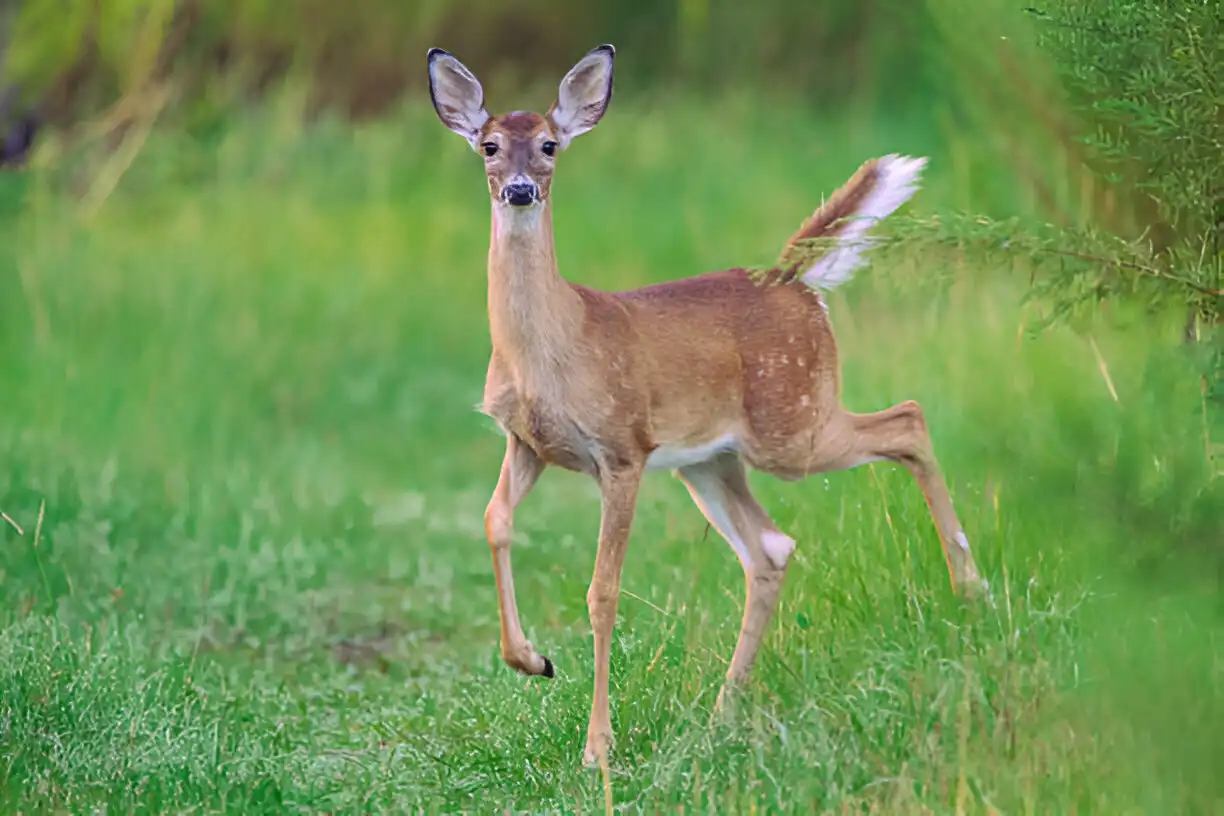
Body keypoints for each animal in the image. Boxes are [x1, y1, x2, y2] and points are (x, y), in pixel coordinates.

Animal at [428, 41, 984, 768]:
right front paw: (531, 660)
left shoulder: (624, 448)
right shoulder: (526, 441)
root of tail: (793, 279)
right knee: (771, 547)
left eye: (549, 144)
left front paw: (597, 746)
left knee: (908, 419)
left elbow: (603, 591)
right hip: (712, 460)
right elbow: (494, 521)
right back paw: (723, 712)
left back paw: (970, 588)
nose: (521, 188)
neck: (551, 350)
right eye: (489, 146)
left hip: (792, 423)